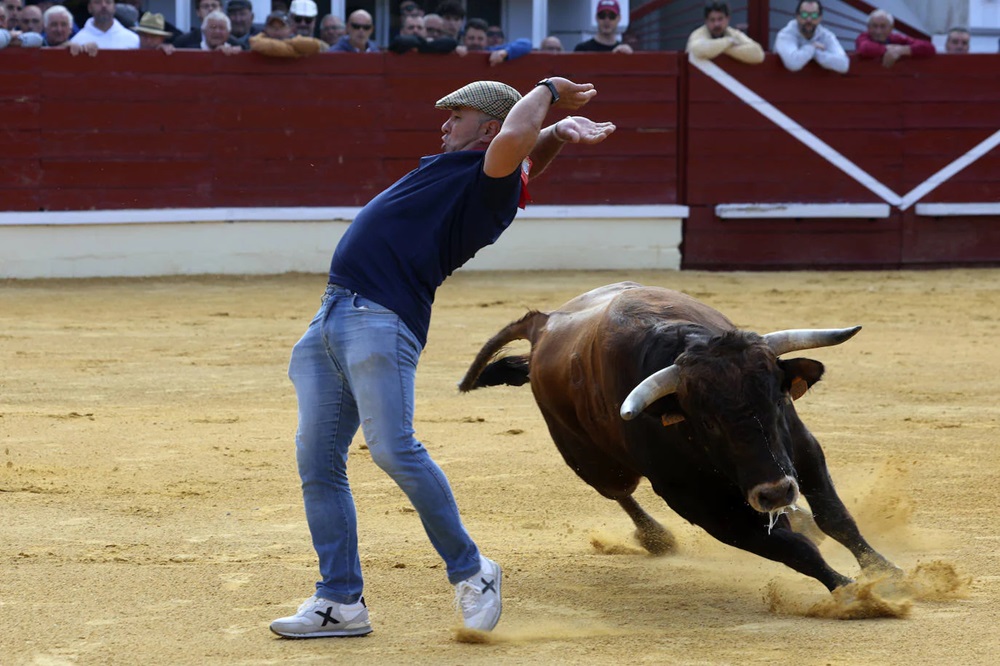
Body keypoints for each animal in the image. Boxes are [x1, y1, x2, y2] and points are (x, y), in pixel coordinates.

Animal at [460, 278, 900, 588]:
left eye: (777, 400)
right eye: (707, 422)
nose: (775, 493)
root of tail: (545, 322)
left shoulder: (802, 448)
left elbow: (836, 518)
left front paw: (887, 571)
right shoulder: (698, 504)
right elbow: (790, 549)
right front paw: (858, 593)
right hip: (591, 461)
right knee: (619, 492)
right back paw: (657, 538)